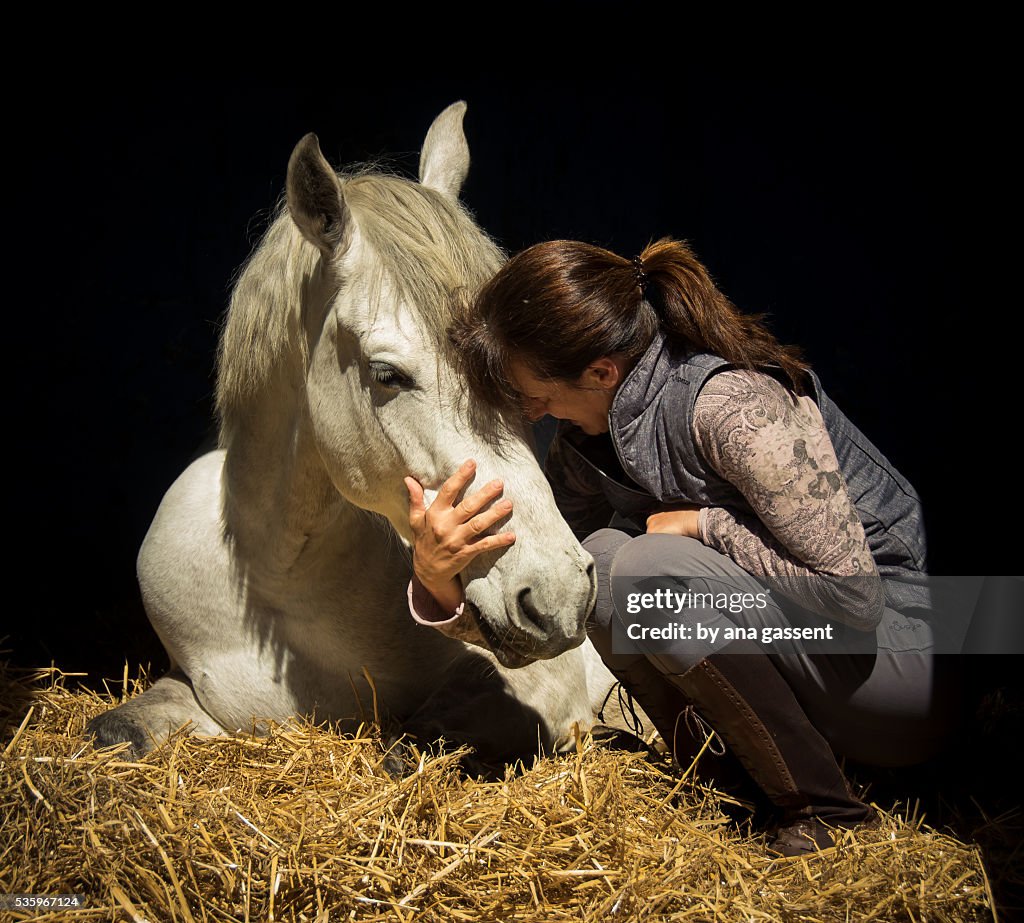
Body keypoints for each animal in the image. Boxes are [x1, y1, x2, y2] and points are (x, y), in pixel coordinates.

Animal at [92, 98, 622, 762]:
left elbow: (410, 743)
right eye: (387, 374)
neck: (280, 581)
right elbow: (114, 730)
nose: (558, 597)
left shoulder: (545, 686)